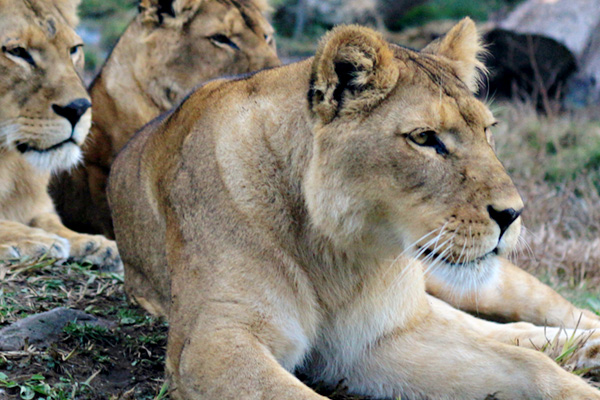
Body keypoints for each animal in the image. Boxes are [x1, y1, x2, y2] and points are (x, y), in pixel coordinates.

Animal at [0, 0, 120, 272]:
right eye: (17, 51)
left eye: (73, 49)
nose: (78, 108)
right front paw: (34, 239)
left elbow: (50, 220)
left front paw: (93, 243)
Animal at [108, 19, 600, 400]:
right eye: (425, 139)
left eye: (487, 131)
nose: (513, 214)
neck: (338, 254)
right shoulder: (211, 343)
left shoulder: (374, 342)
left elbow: (531, 368)